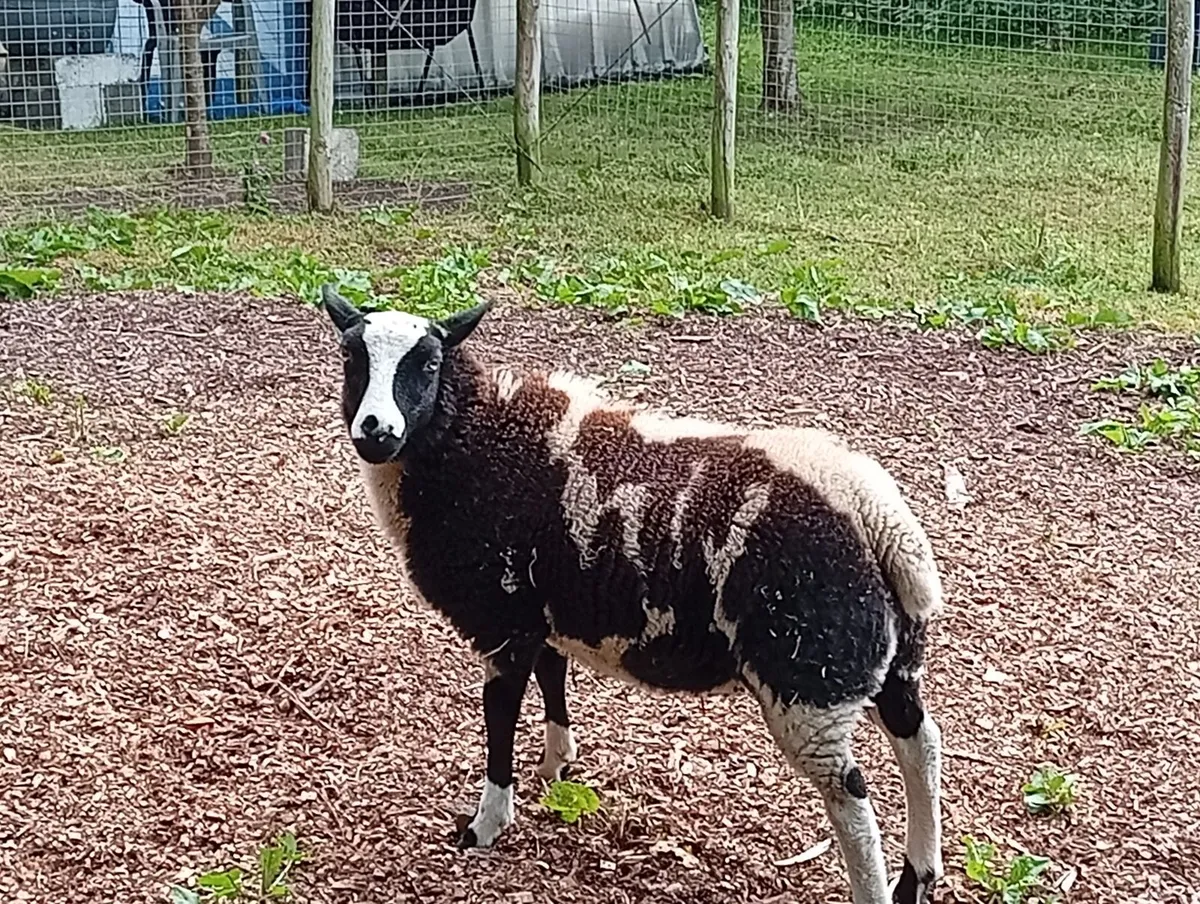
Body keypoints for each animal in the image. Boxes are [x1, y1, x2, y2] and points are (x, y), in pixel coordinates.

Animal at [320, 284, 946, 904]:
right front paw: (557, 762)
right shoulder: (543, 609)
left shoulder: (504, 618)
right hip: (884, 656)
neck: (476, 436)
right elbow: (553, 675)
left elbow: (498, 715)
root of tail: (874, 511)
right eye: (351, 357)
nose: (376, 430)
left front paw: (487, 822)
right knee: (921, 741)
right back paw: (918, 874)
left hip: (809, 677)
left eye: (427, 363)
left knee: (853, 797)